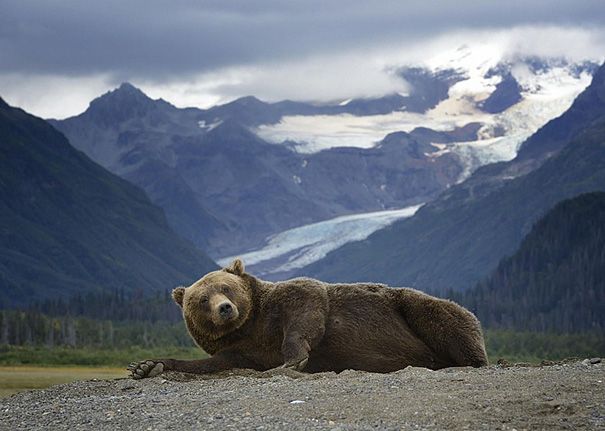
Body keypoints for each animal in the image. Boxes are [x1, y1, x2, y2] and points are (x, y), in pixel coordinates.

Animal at [127, 260, 486, 378]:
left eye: (225, 286)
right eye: (203, 299)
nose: (225, 308)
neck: (250, 326)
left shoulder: (288, 301)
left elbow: (306, 307)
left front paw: (292, 361)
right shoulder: (242, 350)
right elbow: (210, 364)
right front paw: (147, 366)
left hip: (412, 307)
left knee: (444, 318)